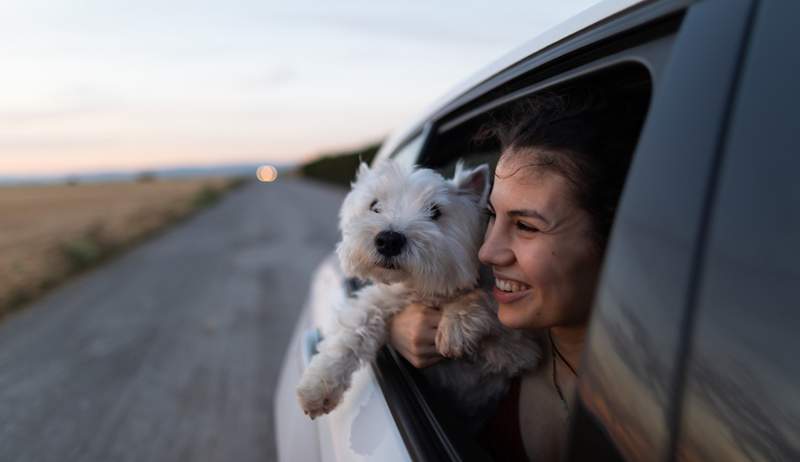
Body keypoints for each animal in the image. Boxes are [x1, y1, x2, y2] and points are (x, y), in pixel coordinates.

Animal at [296, 160, 540, 422]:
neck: (423, 288)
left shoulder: (522, 353)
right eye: (374, 205)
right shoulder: (384, 298)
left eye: (435, 211)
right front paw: (316, 389)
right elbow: (354, 327)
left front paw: (456, 325)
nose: (389, 240)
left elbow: (489, 304)